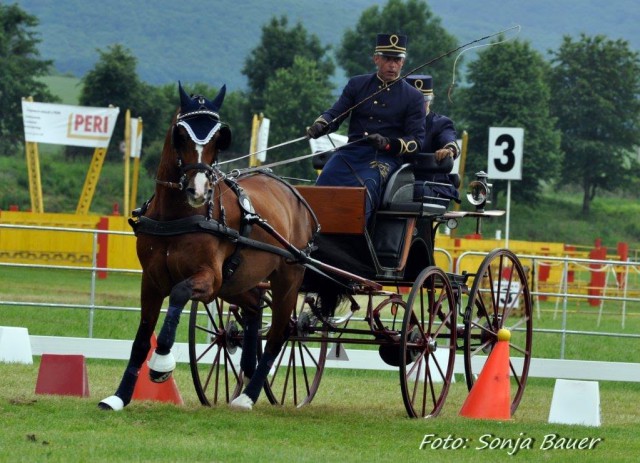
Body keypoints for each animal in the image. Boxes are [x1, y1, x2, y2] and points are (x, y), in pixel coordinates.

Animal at [99, 82, 318, 410]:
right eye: (180, 135)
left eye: (219, 138)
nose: (198, 191)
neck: (176, 216)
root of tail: (294, 193)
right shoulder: (150, 280)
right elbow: (141, 338)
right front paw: (120, 396)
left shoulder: (209, 278)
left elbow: (179, 294)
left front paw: (161, 365)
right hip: (238, 281)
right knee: (254, 308)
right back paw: (247, 372)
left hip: (288, 279)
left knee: (279, 335)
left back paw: (249, 395)